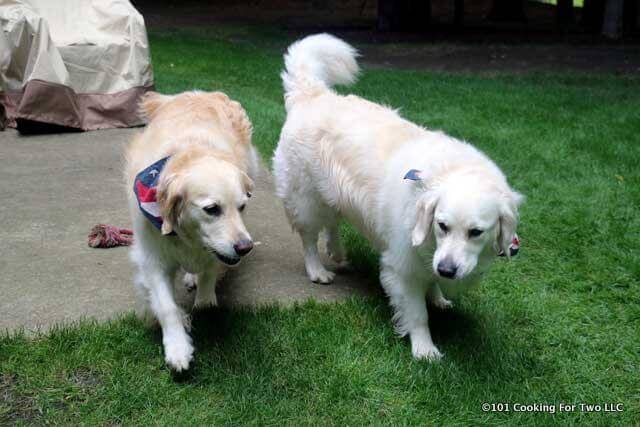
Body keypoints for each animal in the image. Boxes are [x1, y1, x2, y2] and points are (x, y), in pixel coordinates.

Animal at [126, 90, 258, 372]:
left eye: (242, 206)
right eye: (211, 209)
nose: (245, 248)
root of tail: (202, 93)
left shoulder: (214, 251)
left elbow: (208, 282)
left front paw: (204, 300)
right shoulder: (152, 258)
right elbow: (166, 307)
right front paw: (177, 348)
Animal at [272, 34, 524, 362]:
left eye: (476, 232)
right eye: (442, 226)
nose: (447, 270)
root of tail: (313, 94)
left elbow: (431, 283)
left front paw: (438, 297)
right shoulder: (401, 267)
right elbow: (417, 314)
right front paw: (425, 349)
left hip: (331, 197)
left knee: (332, 225)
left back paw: (338, 254)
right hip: (305, 199)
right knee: (309, 238)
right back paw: (318, 271)